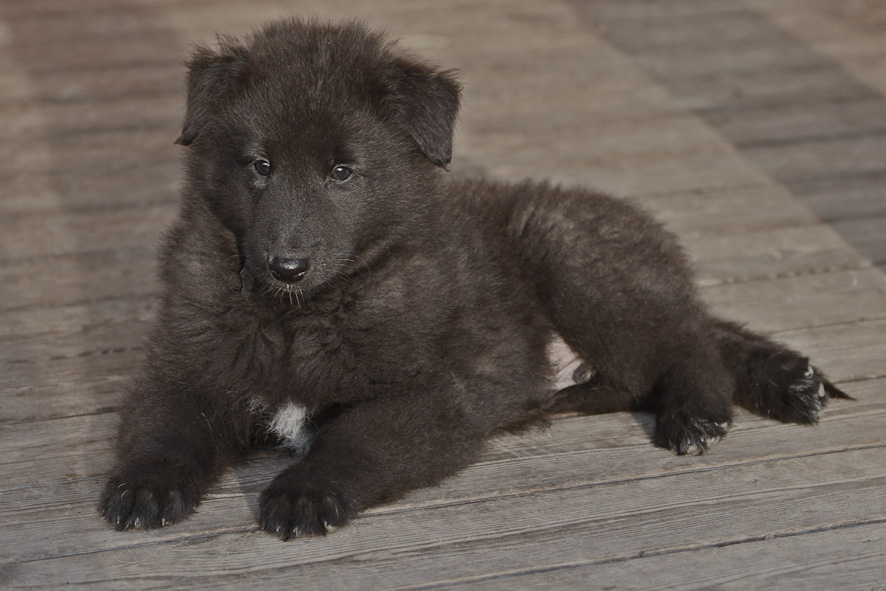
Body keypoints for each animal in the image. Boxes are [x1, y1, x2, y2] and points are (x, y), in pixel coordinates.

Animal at [100, 18, 848, 540]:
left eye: (342, 172)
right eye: (259, 165)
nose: (287, 263)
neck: (300, 314)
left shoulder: (432, 394)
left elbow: (355, 437)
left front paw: (306, 491)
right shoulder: (185, 363)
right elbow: (165, 426)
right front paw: (143, 485)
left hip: (572, 254)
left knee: (687, 340)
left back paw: (698, 411)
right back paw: (784, 379)